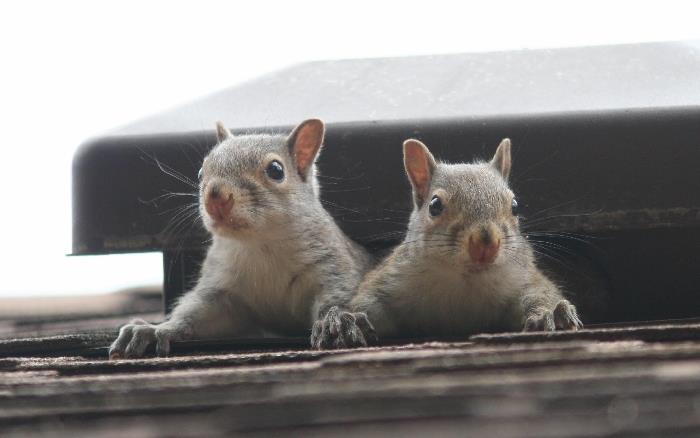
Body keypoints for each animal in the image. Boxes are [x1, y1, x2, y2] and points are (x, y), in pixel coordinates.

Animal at [109, 119, 374, 358]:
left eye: (276, 170)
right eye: (200, 172)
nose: (215, 197)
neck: (260, 243)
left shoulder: (332, 264)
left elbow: (338, 293)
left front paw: (336, 320)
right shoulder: (220, 289)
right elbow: (195, 313)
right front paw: (155, 330)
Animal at [344, 137, 582, 341]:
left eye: (515, 206)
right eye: (434, 205)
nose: (486, 243)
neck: (465, 278)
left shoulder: (523, 276)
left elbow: (540, 293)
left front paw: (549, 313)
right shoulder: (391, 278)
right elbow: (369, 301)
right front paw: (350, 322)